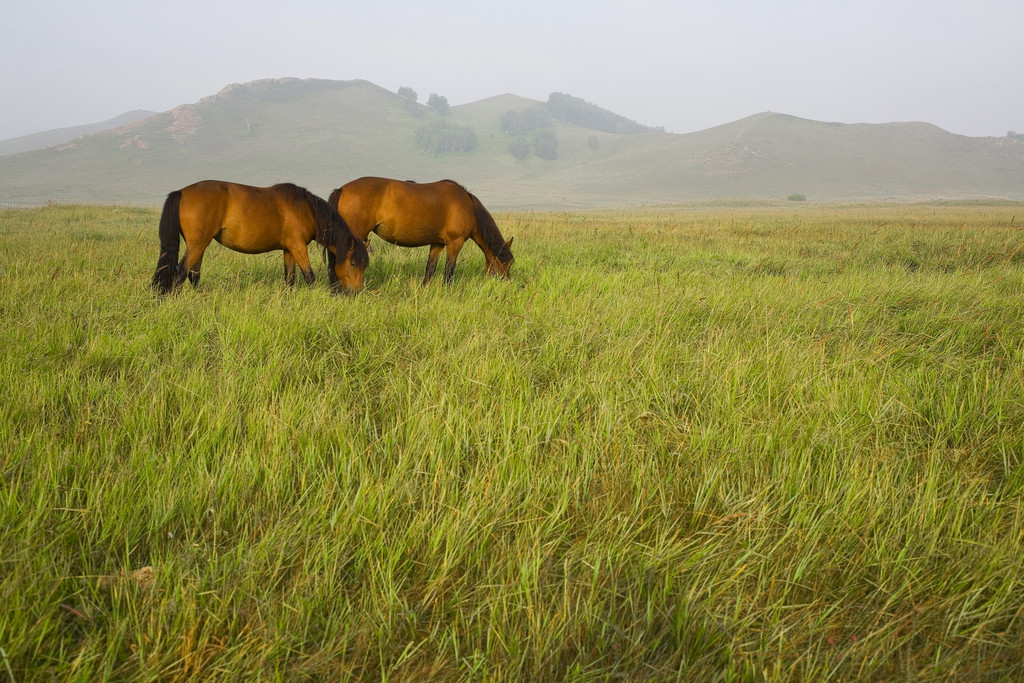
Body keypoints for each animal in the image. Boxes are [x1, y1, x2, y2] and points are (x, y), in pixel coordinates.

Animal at [151, 181, 368, 296]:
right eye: (353, 263)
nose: (356, 292)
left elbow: (289, 278)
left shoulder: (289, 249)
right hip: (198, 244)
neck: (306, 209)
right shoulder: (298, 247)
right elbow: (309, 276)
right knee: (181, 272)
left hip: (199, 245)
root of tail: (181, 192)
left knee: (193, 274)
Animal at [327, 179, 512, 286]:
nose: (507, 283)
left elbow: (430, 269)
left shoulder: (437, 243)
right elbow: (449, 270)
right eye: (509, 263)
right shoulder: (455, 243)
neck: (469, 205)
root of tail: (342, 189)